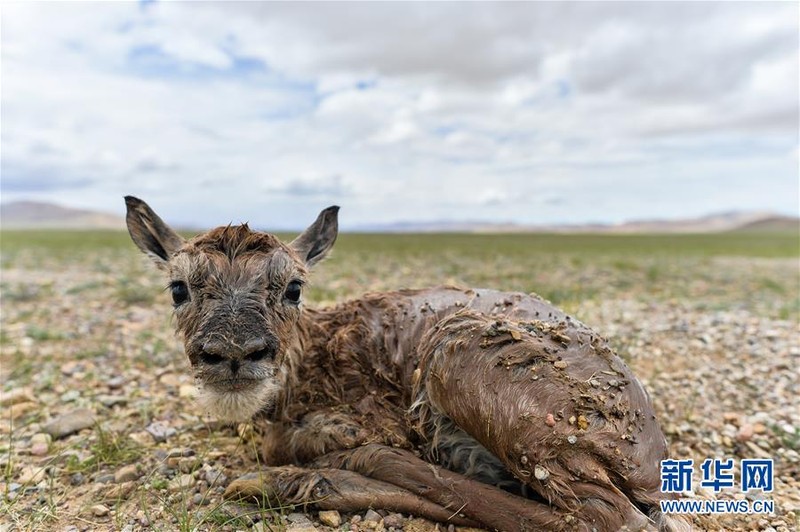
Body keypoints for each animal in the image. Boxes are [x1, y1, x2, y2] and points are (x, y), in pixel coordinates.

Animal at [125, 197, 688, 528]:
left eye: (293, 288)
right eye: (178, 289)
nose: (234, 354)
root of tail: (651, 458)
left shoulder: (369, 421)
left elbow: (293, 441)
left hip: (455, 360)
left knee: (605, 518)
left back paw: (292, 481)